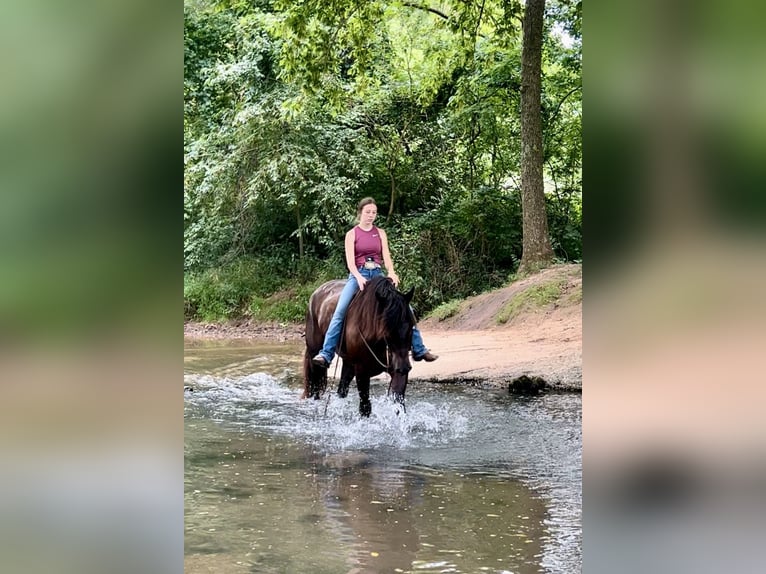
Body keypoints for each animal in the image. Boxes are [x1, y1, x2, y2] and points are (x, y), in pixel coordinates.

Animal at [304, 276, 416, 418]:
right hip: (314, 355)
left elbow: (399, 404)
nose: (403, 367)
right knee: (316, 387)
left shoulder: (397, 369)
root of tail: (316, 293)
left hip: (348, 363)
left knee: (342, 389)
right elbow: (365, 407)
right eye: (386, 329)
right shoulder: (362, 370)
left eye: (411, 326)